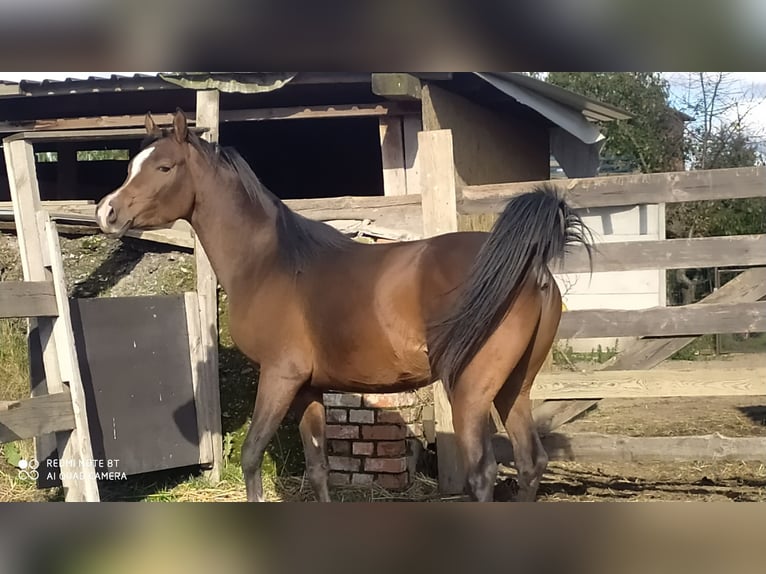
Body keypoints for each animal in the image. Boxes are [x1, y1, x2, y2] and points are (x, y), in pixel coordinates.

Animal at [95, 109, 592, 502]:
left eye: (164, 166)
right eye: (130, 165)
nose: (106, 212)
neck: (271, 261)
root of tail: (530, 264)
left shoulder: (279, 376)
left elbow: (253, 456)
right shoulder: (309, 390)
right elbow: (318, 469)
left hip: (470, 391)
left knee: (484, 473)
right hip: (514, 388)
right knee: (530, 463)